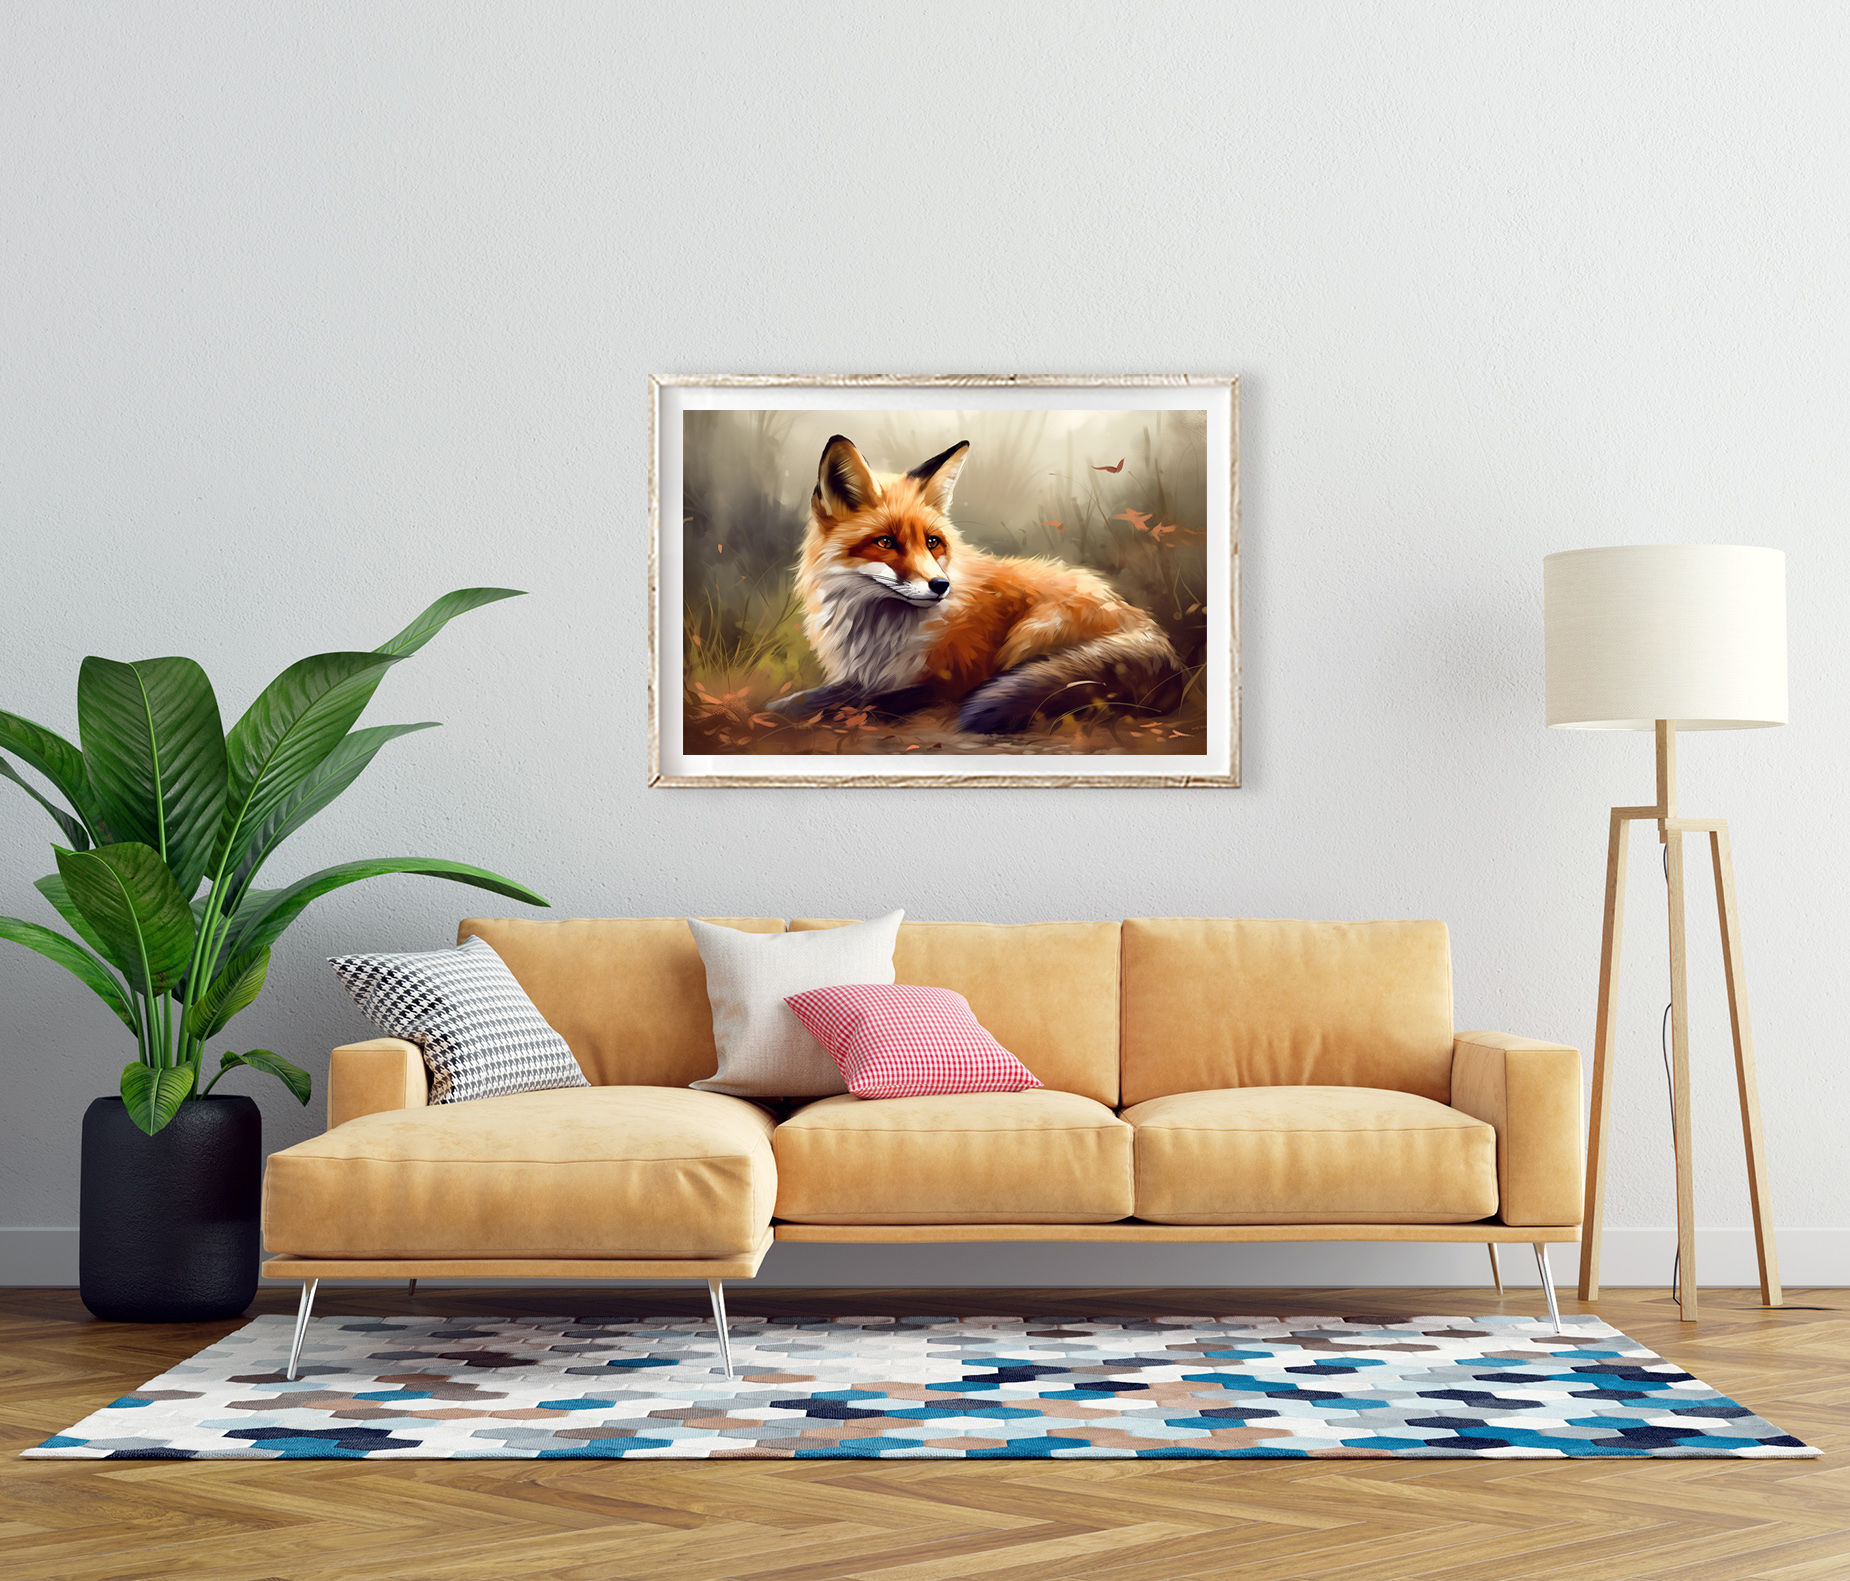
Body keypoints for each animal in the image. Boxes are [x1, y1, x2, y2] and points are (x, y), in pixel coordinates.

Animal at [767, 434, 1185, 734]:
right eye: (885, 542)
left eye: (932, 542)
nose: (940, 585)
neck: (882, 632)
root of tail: (1155, 636)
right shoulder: (862, 674)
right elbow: (819, 697)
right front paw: (783, 706)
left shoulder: (950, 682)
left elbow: (866, 702)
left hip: (1030, 634)